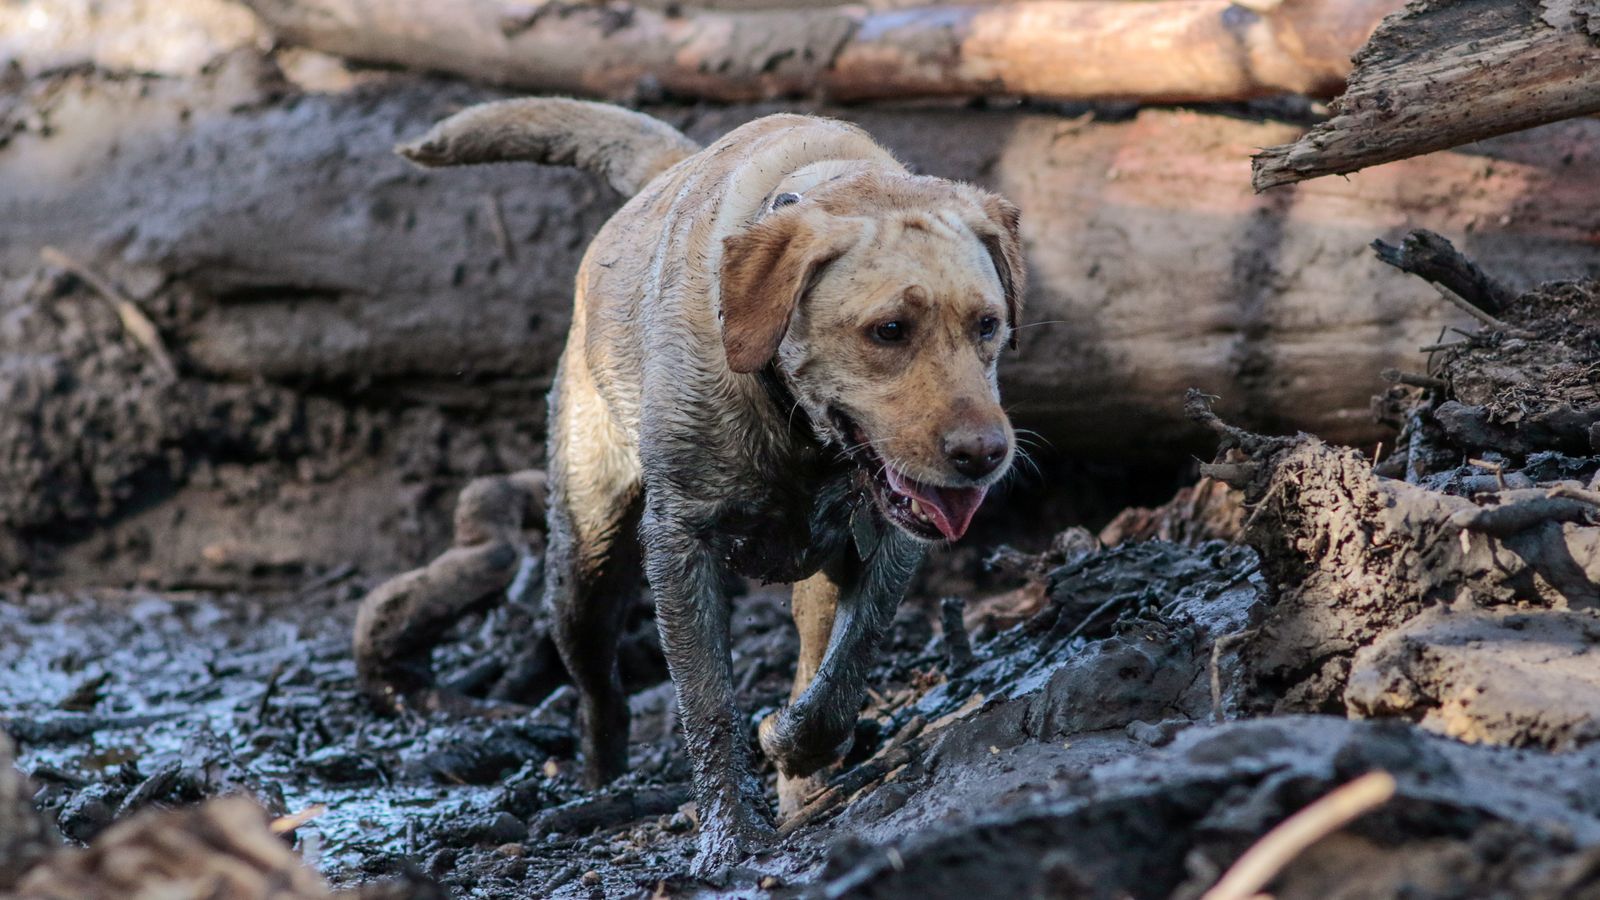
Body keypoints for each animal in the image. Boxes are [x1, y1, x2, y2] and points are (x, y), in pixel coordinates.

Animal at [396, 98, 1024, 871]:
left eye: (988, 324)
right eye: (889, 329)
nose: (984, 454)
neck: (795, 424)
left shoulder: (889, 543)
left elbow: (844, 671)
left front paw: (793, 743)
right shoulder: (682, 543)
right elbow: (707, 701)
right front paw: (729, 836)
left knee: (813, 653)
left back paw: (802, 781)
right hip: (583, 562)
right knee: (599, 685)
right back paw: (599, 779)